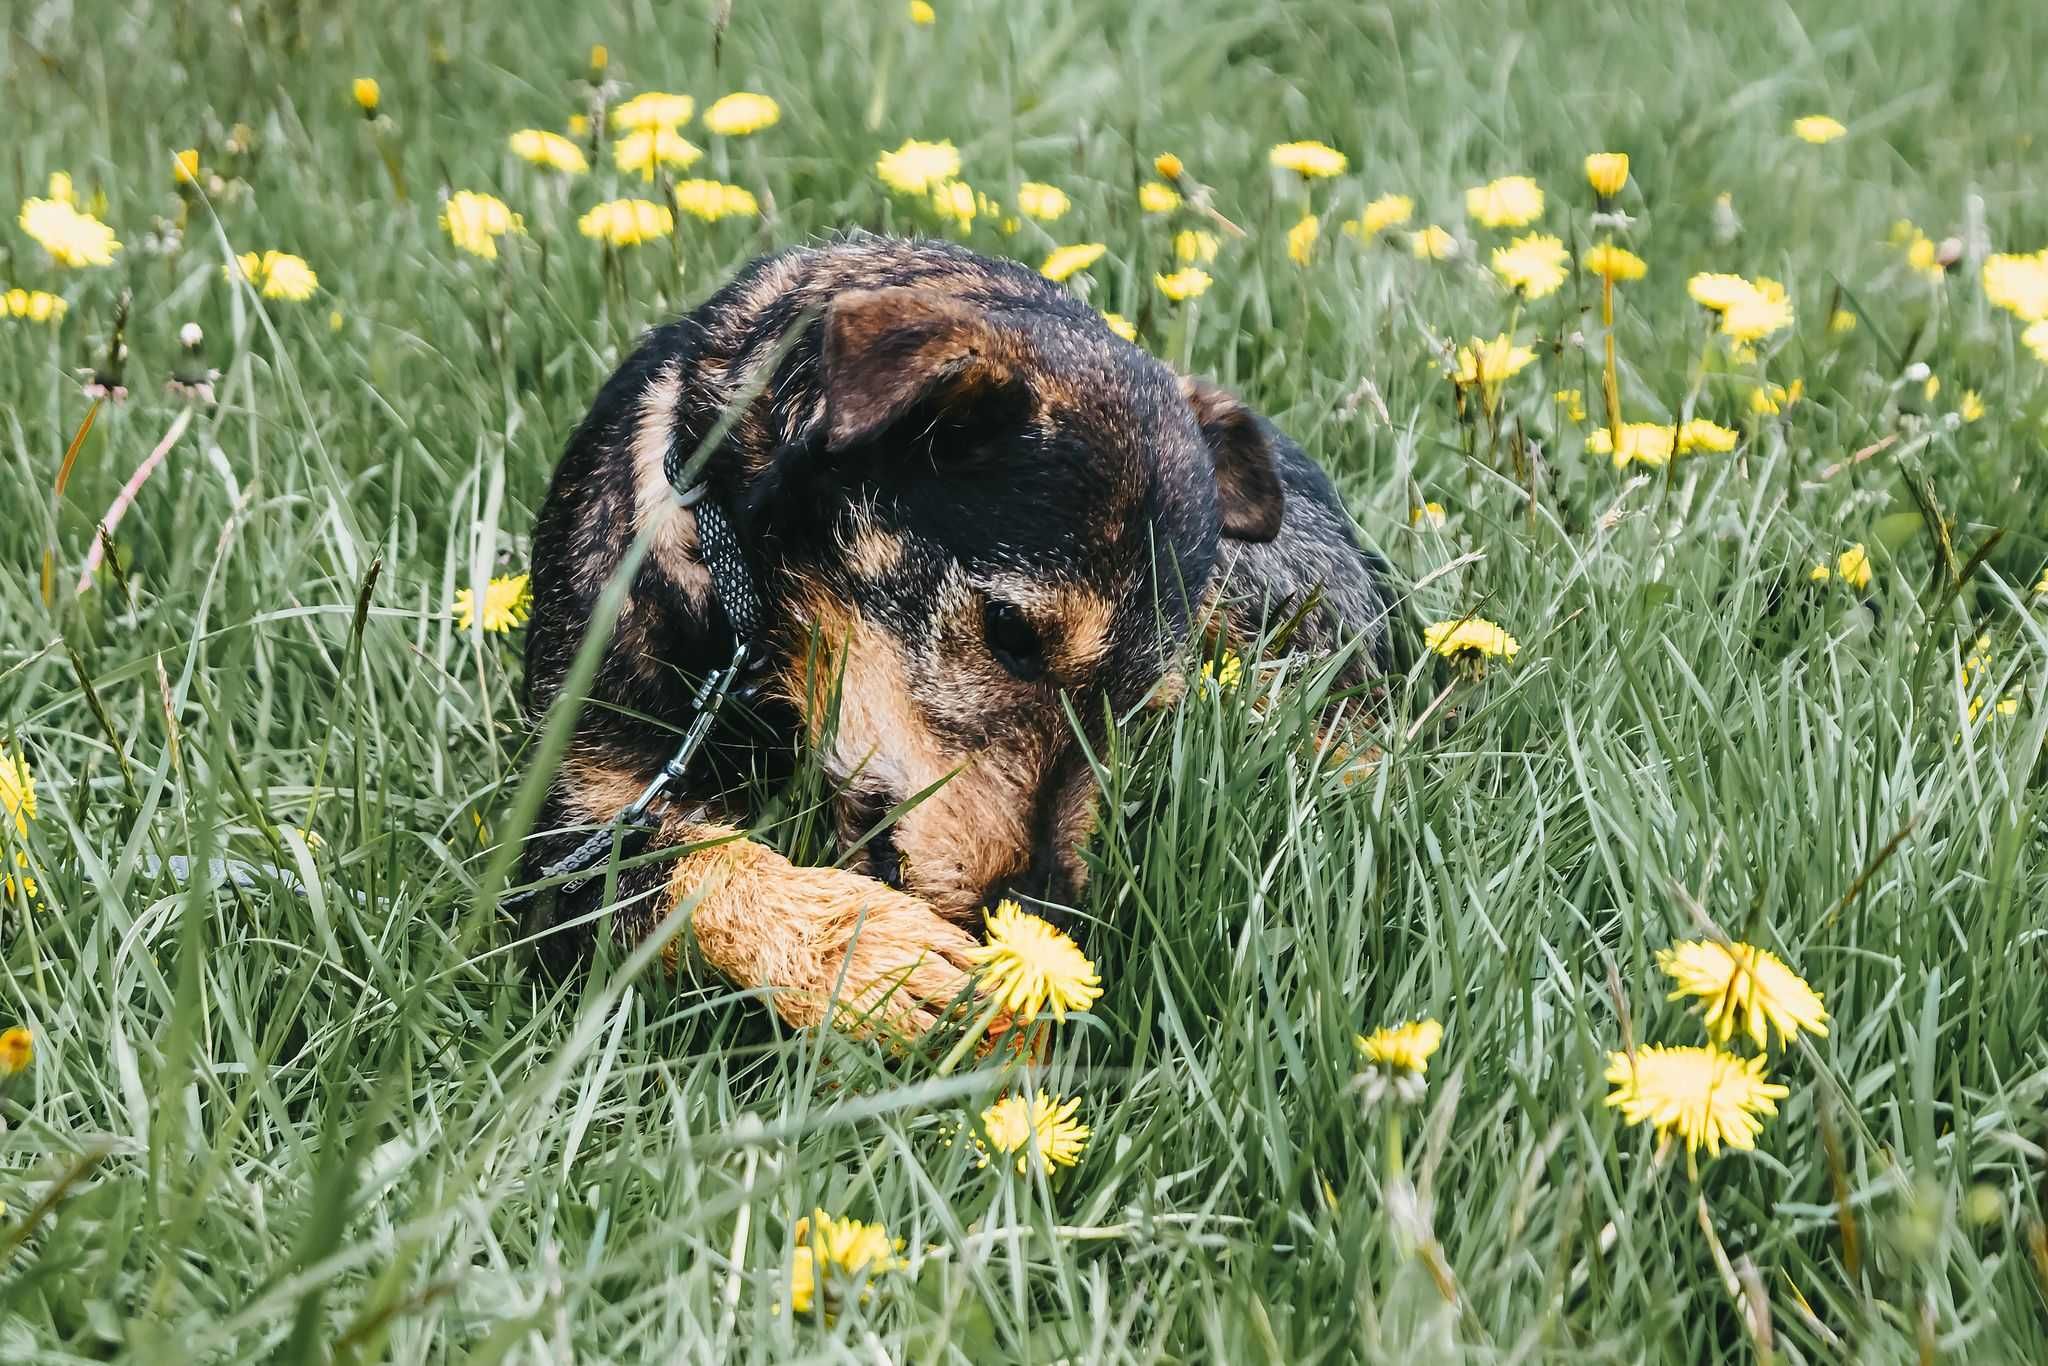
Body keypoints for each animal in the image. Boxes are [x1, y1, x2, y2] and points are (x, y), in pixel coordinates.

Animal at [512, 235, 1392, 1032]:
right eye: (1009, 630)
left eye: (1143, 706)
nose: (1043, 918)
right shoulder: (564, 840)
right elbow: (691, 868)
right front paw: (866, 953)